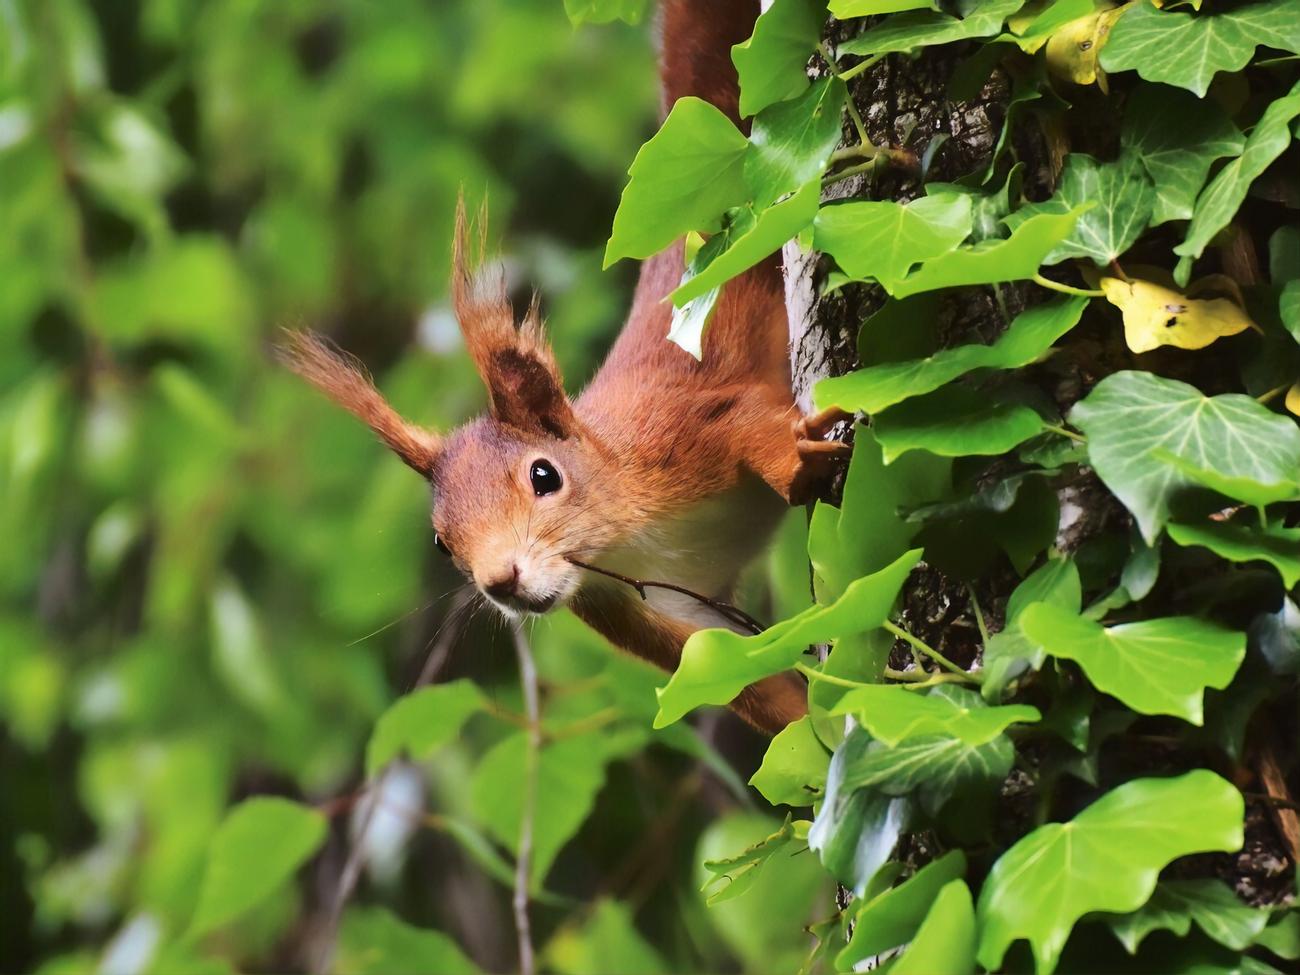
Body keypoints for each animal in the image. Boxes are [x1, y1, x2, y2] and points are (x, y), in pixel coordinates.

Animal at [279, 0, 847, 733]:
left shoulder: (685, 429)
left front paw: (800, 460)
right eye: (440, 542)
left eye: (544, 476)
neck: (625, 537)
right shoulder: (641, 609)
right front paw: (815, 729)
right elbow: (741, 677)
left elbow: (746, 419)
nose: (501, 582)